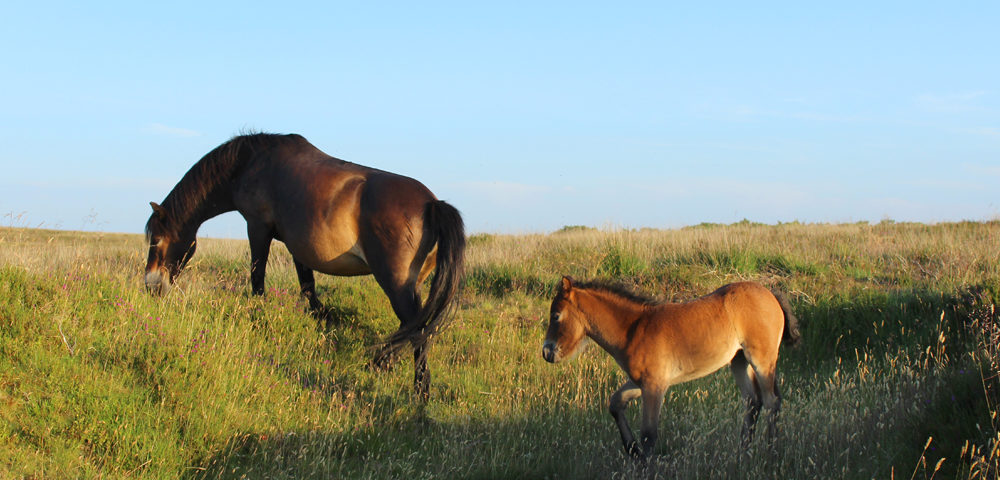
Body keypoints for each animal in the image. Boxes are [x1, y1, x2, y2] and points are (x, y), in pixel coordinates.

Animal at [146, 131, 466, 398]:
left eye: (157, 239)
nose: (151, 286)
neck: (250, 162)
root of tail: (432, 205)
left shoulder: (258, 227)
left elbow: (258, 277)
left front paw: (259, 316)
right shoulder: (297, 244)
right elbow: (308, 286)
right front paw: (321, 319)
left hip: (396, 284)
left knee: (418, 330)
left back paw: (419, 391)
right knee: (413, 328)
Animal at [540, 278, 796, 462]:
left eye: (556, 316)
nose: (547, 352)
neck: (633, 329)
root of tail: (771, 295)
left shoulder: (655, 385)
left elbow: (649, 434)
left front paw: (644, 463)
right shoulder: (641, 382)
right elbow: (615, 403)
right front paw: (633, 451)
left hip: (761, 359)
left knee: (771, 401)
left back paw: (770, 453)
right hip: (739, 361)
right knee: (753, 402)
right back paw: (743, 452)